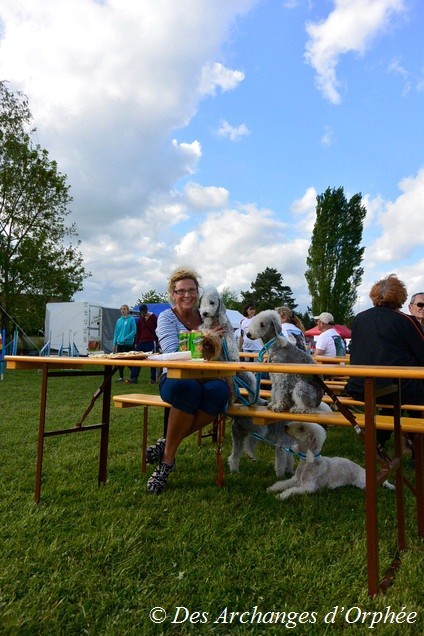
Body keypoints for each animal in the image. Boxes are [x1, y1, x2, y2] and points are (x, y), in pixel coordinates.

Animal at [266, 424, 396, 500]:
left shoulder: (308, 487)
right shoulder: (295, 479)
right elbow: (283, 483)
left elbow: (292, 490)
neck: (308, 462)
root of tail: (362, 469)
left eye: (302, 428)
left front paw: (280, 495)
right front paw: (272, 489)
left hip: (362, 482)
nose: (285, 426)